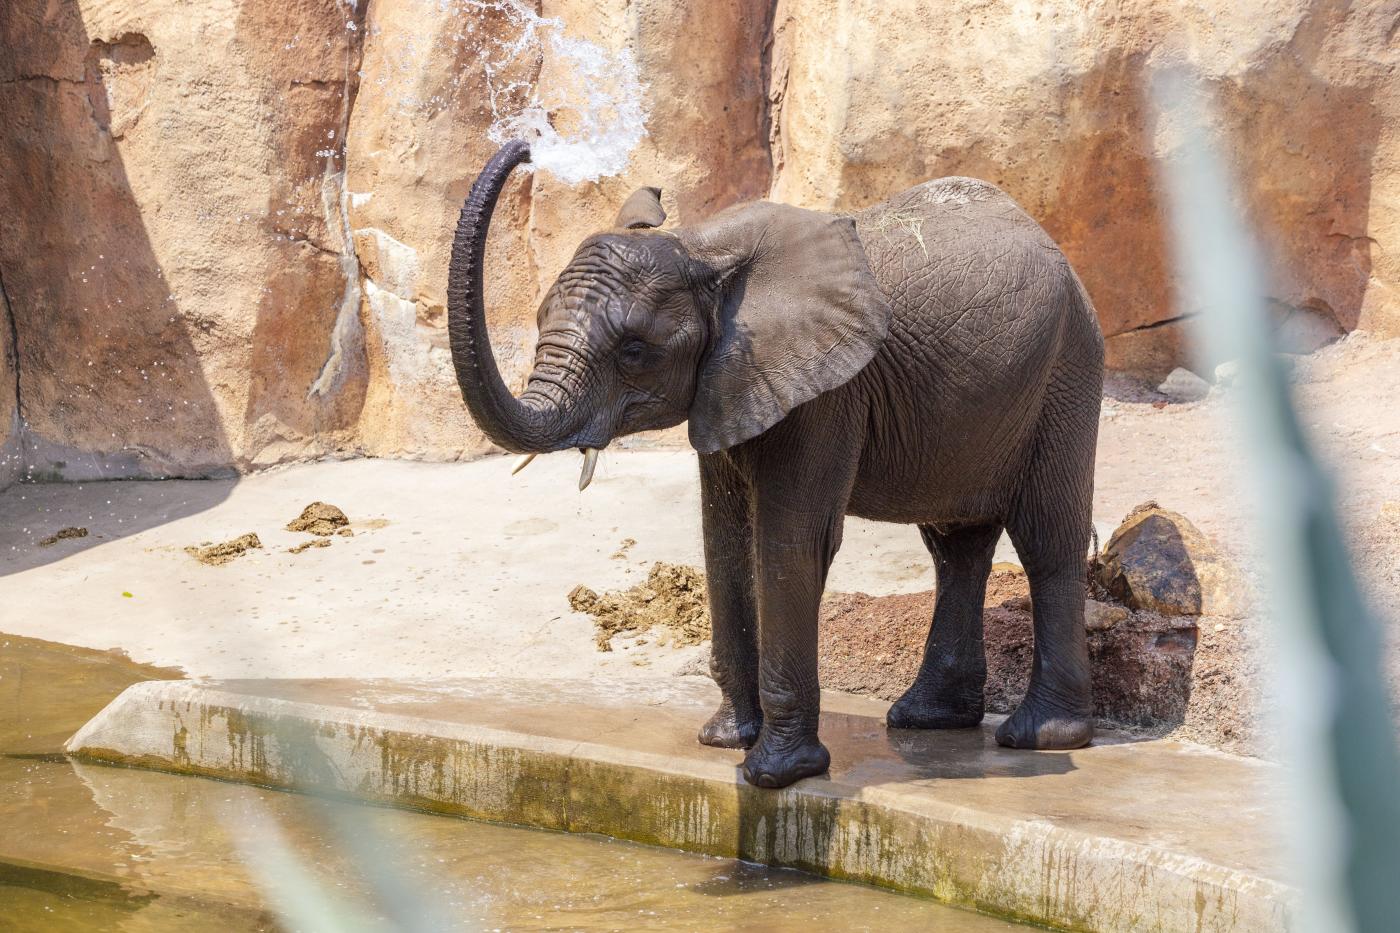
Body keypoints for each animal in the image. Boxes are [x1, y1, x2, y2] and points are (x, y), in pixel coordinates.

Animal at [448, 143, 1103, 784]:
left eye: (634, 351)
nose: (526, 147)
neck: (702, 249)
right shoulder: (729, 384)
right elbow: (725, 540)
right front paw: (724, 740)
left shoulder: (829, 392)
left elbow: (792, 542)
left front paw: (776, 773)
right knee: (956, 548)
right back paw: (927, 720)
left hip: (1066, 368)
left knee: (1047, 539)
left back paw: (1039, 738)